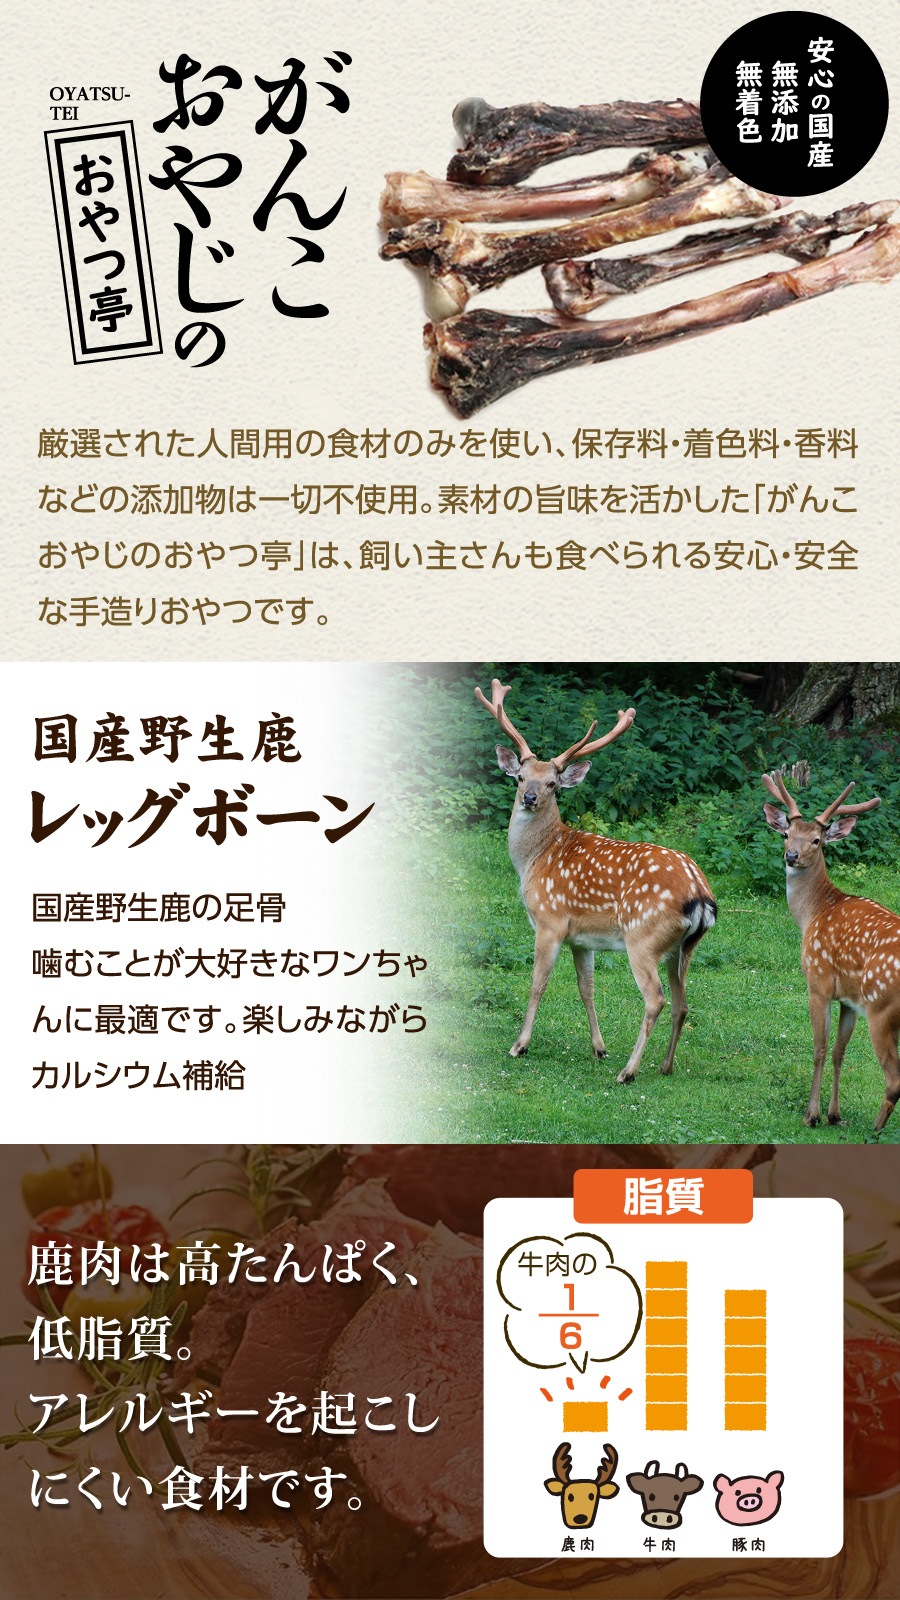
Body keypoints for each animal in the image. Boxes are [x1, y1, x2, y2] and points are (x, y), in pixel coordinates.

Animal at [475, 679, 717, 1081]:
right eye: (521, 777)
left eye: (553, 784)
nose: (529, 798)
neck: (534, 860)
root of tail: (701, 895)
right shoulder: (581, 938)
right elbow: (586, 988)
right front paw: (599, 1048)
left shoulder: (550, 921)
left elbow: (537, 984)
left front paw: (519, 1045)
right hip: (683, 948)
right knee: (682, 1002)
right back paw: (664, 1066)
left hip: (643, 937)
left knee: (656, 999)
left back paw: (629, 1071)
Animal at [762, 768, 900, 1132]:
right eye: (786, 834)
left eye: (816, 841)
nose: (791, 856)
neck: (814, 912)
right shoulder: (850, 999)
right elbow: (839, 1051)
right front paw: (833, 1114)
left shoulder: (819, 981)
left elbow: (819, 1049)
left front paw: (811, 1114)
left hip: (882, 1007)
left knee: (894, 1080)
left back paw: (874, 1130)